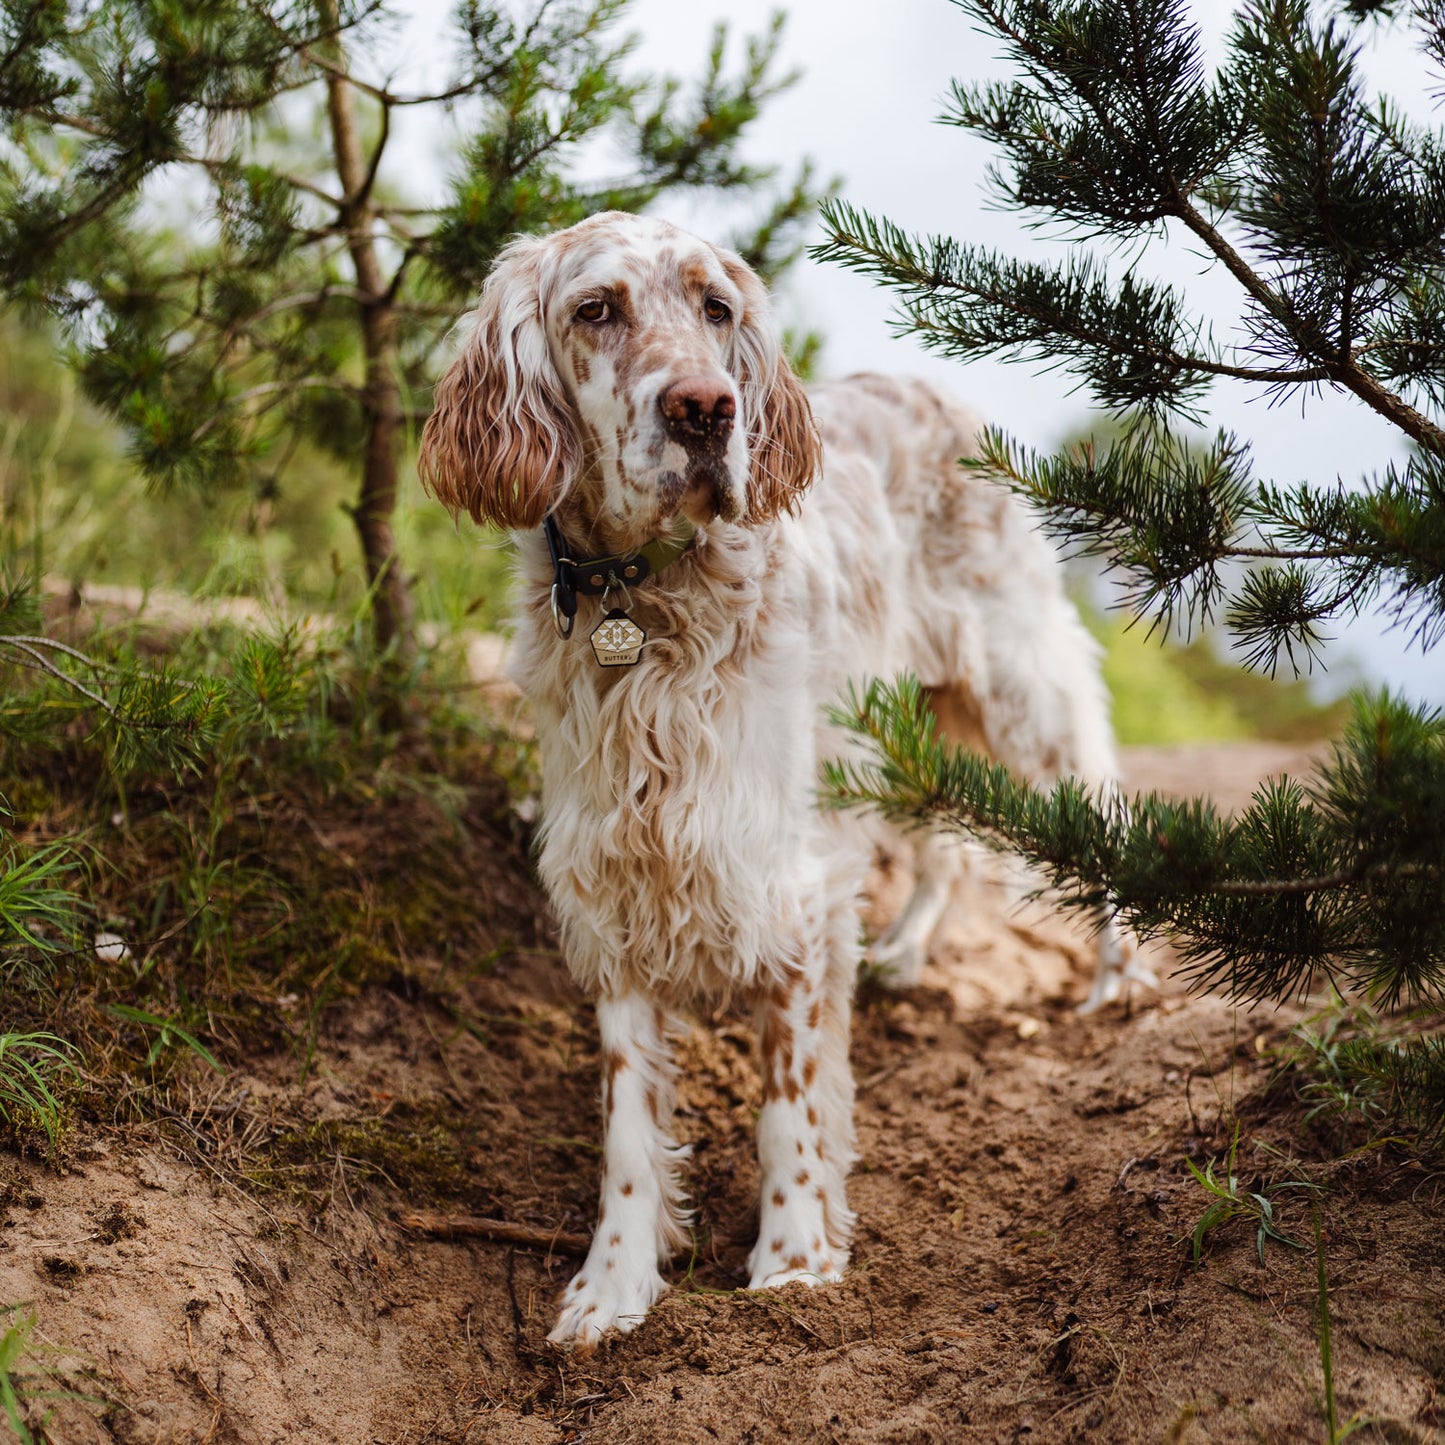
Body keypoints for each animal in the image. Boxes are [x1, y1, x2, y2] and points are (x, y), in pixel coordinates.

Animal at [421, 209, 1150, 1346]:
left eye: (717, 308)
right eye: (596, 309)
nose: (704, 409)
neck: (648, 605)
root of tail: (939, 391)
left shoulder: (792, 882)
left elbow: (789, 1104)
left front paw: (797, 1264)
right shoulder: (612, 884)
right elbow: (628, 1129)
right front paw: (611, 1287)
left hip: (1017, 688)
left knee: (1100, 818)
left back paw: (1120, 977)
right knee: (945, 847)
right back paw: (904, 953)